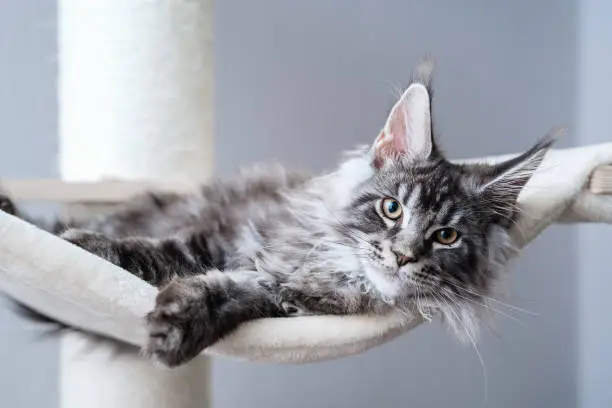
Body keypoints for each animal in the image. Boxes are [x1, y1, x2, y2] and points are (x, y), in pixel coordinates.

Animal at [0, 59, 556, 366]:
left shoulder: (282, 301)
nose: (402, 256)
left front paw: (178, 327)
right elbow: (154, 253)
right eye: (391, 209)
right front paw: (87, 247)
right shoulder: (226, 234)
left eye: (445, 237)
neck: (336, 269)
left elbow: (223, 295)